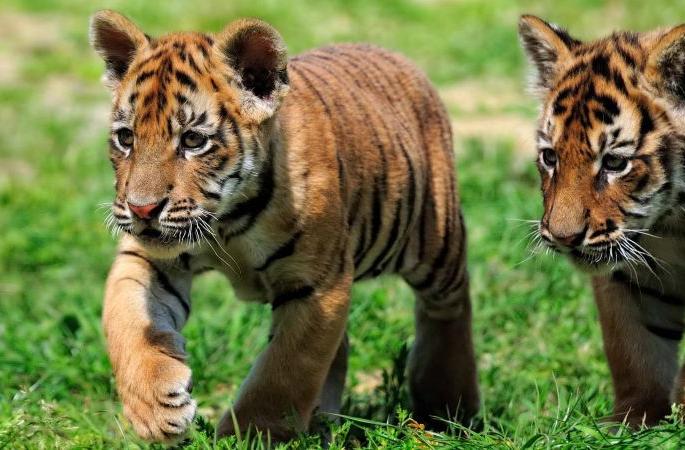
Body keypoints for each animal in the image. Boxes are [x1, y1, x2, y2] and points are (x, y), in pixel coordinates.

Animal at [89, 9, 479, 442]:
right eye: (126, 138)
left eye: (193, 141)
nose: (142, 209)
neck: (227, 219)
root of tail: (391, 54)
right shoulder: (149, 259)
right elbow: (127, 323)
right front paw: (155, 409)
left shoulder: (316, 285)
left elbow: (284, 373)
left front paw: (248, 437)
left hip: (434, 242)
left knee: (449, 306)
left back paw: (448, 407)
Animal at [519, 15, 685, 427]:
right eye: (550, 157)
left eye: (614, 162)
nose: (563, 237)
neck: (672, 226)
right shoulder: (628, 278)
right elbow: (634, 351)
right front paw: (633, 423)